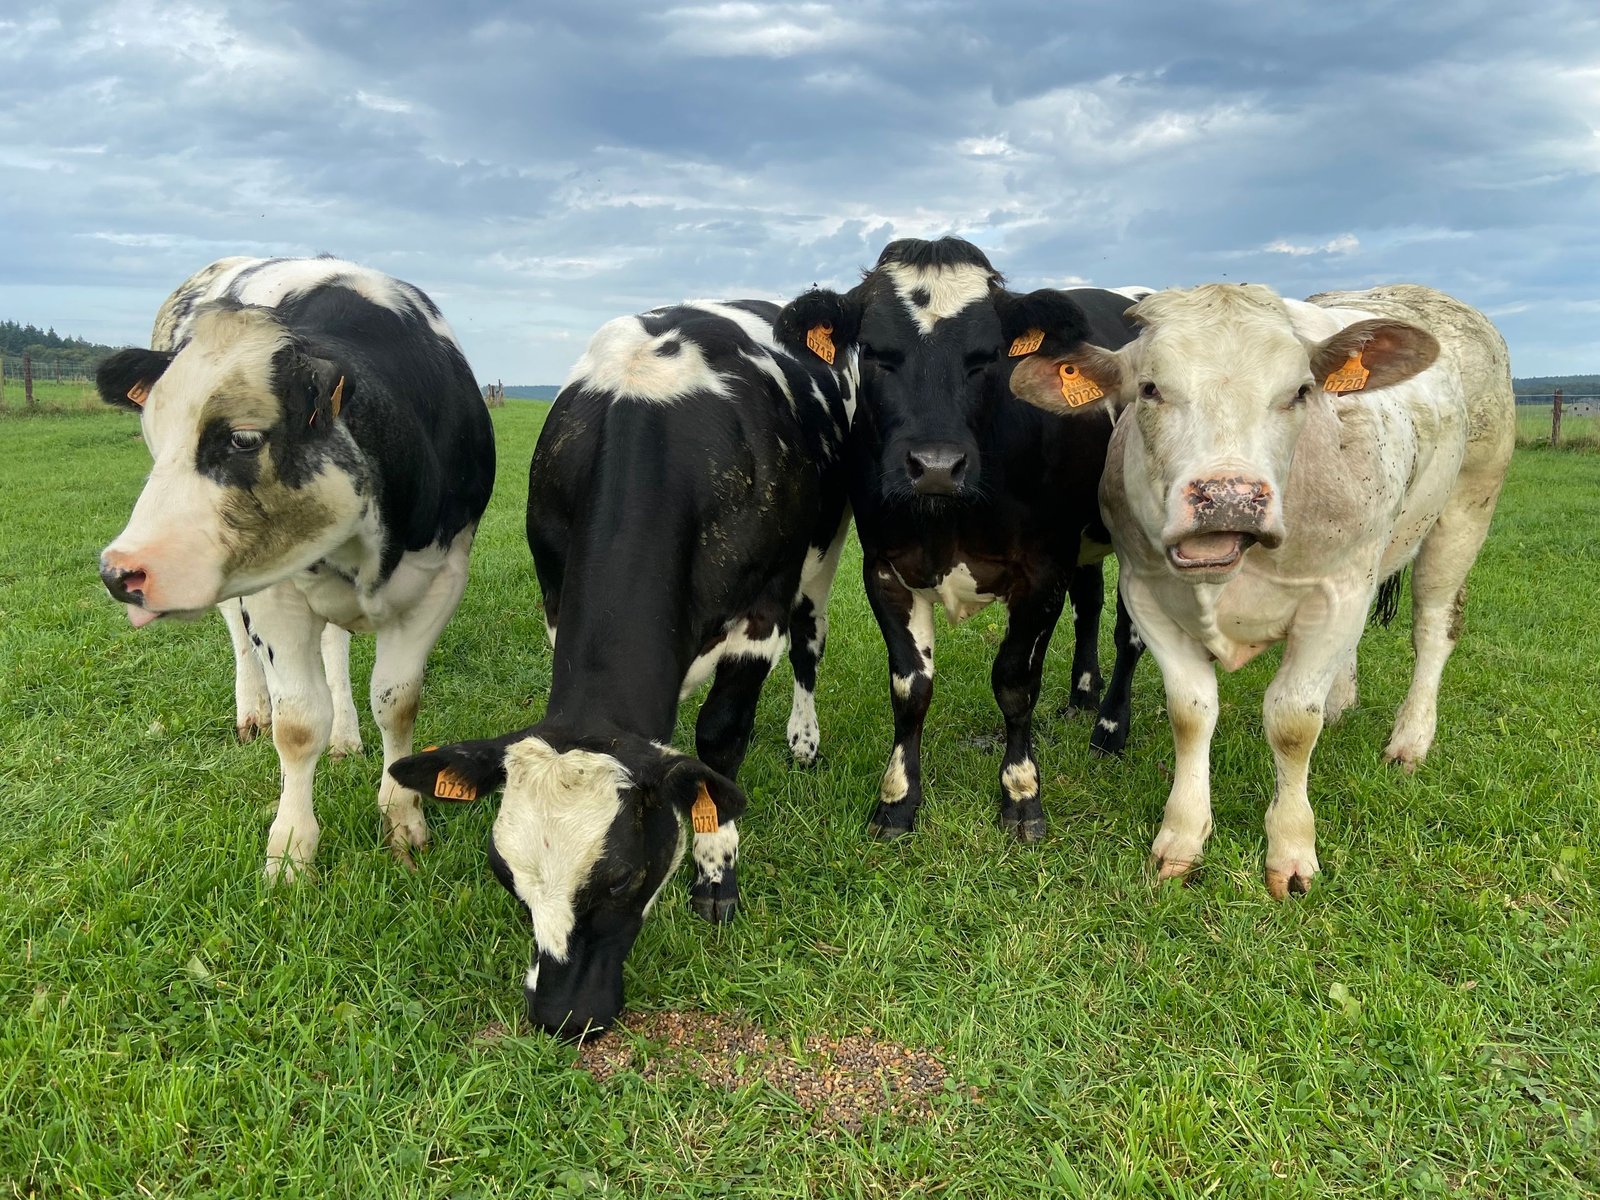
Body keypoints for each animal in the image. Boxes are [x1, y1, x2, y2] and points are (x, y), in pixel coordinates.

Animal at [387, 299, 856, 1039]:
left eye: (620, 880)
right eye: (505, 876)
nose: (560, 1015)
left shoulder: (760, 614)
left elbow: (721, 741)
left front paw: (716, 874)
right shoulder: (556, 597)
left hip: (824, 550)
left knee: (812, 640)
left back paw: (804, 741)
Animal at [771, 237, 1145, 843]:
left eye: (987, 356)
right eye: (874, 352)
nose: (936, 466)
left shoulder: (1041, 571)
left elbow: (1015, 682)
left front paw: (1021, 794)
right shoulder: (886, 569)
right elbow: (910, 688)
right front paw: (897, 799)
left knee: (1128, 634)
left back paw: (1110, 728)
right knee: (1088, 604)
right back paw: (1082, 697)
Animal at [1009, 282, 1514, 897]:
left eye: (1300, 392)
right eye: (1150, 388)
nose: (1229, 497)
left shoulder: (1337, 591)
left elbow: (1293, 722)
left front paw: (1291, 849)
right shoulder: (1146, 593)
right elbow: (1191, 713)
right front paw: (1182, 837)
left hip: (1466, 509)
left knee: (1434, 627)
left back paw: (1410, 740)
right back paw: (1341, 701)